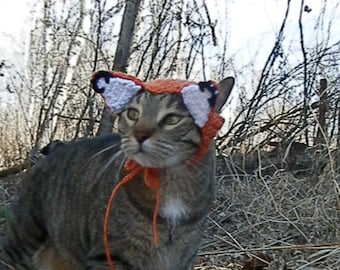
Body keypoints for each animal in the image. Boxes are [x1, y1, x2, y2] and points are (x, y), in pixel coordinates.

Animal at [1, 72, 234, 270]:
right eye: (132, 114)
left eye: (172, 119)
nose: (139, 135)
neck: (170, 185)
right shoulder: (111, 255)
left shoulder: (183, 258)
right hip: (22, 239)